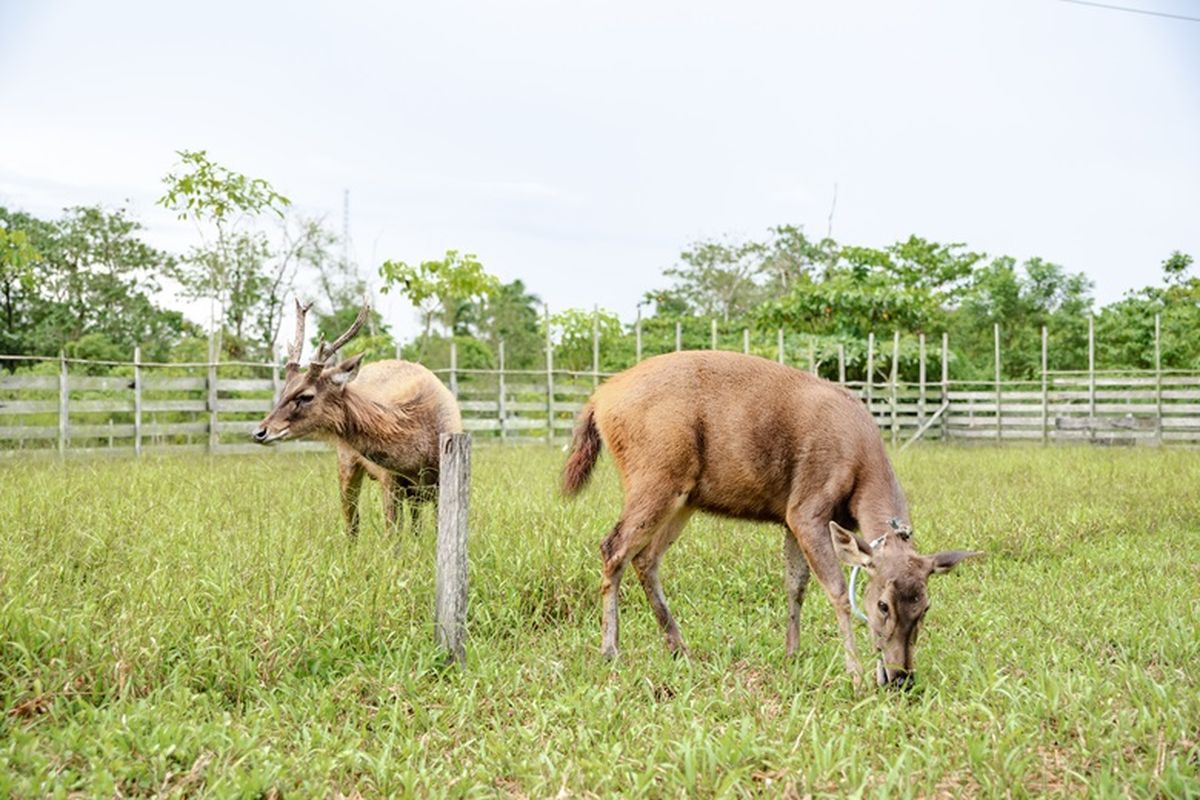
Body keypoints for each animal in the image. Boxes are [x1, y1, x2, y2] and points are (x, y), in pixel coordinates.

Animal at [253, 299, 463, 537]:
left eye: (305, 396)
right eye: (283, 391)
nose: (259, 432)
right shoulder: (389, 479)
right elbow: (393, 535)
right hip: (346, 461)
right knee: (352, 523)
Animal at [561, 350, 974, 690]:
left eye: (925, 607)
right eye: (883, 604)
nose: (901, 678)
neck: (861, 473)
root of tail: (599, 400)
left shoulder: (790, 518)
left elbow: (795, 586)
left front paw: (793, 654)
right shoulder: (806, 508)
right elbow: (838, 591)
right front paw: (855, 677)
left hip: (684, 497)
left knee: (646, 559)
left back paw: (679, 648)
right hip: (655, 475)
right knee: (613, 547)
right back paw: (611, 650)